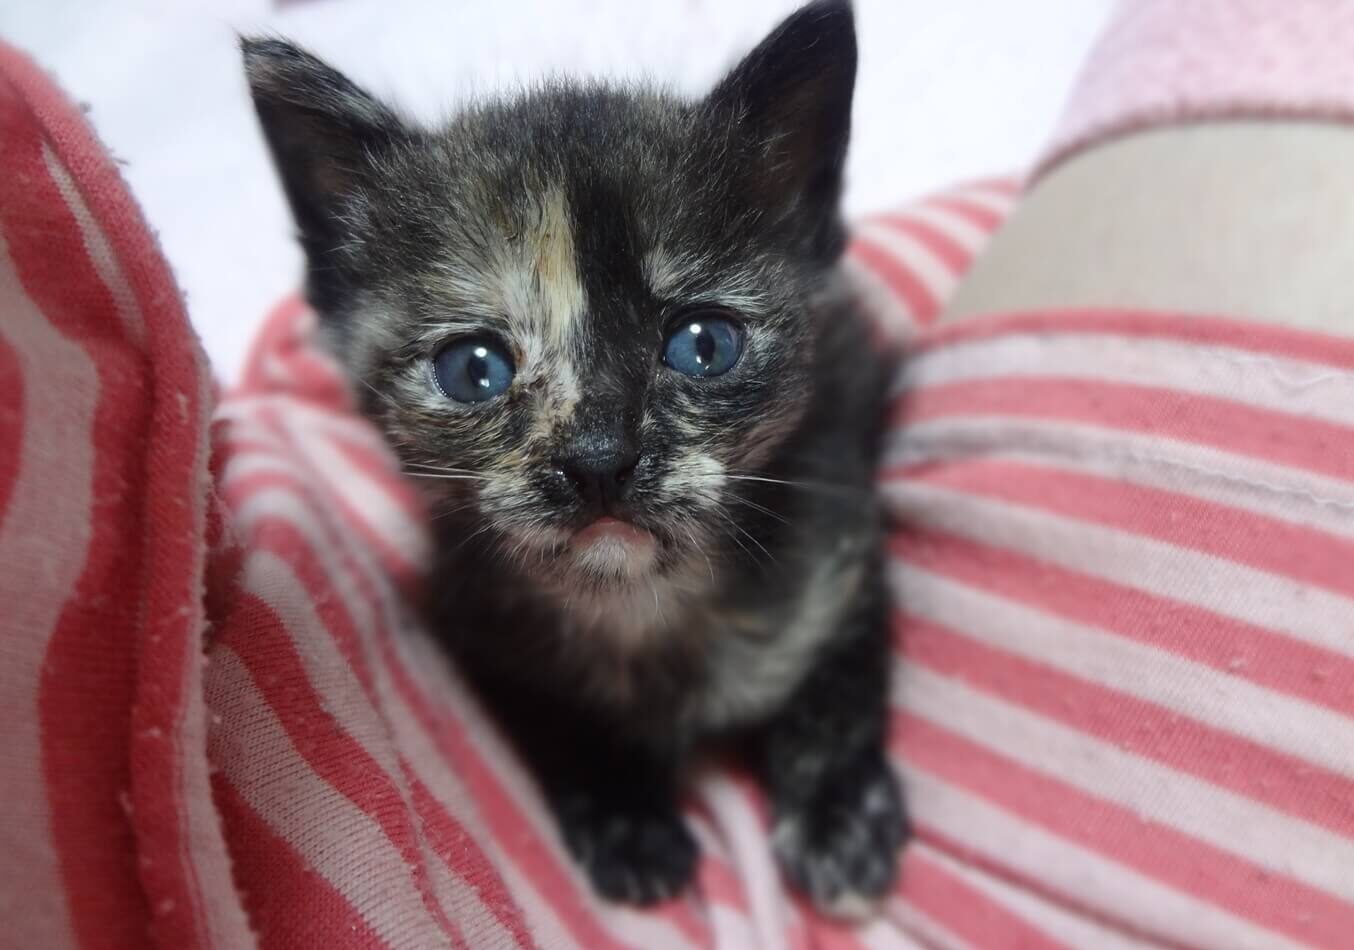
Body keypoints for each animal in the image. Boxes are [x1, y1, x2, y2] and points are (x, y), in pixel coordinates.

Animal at [243, 0, 906, 914]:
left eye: (704, 345)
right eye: (474, 369)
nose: (599, 458)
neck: (644, 606)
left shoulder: (840, 534)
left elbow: (837, 678)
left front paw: (838, 813)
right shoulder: (480, 622)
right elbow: (558, 720)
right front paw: (624, 814)